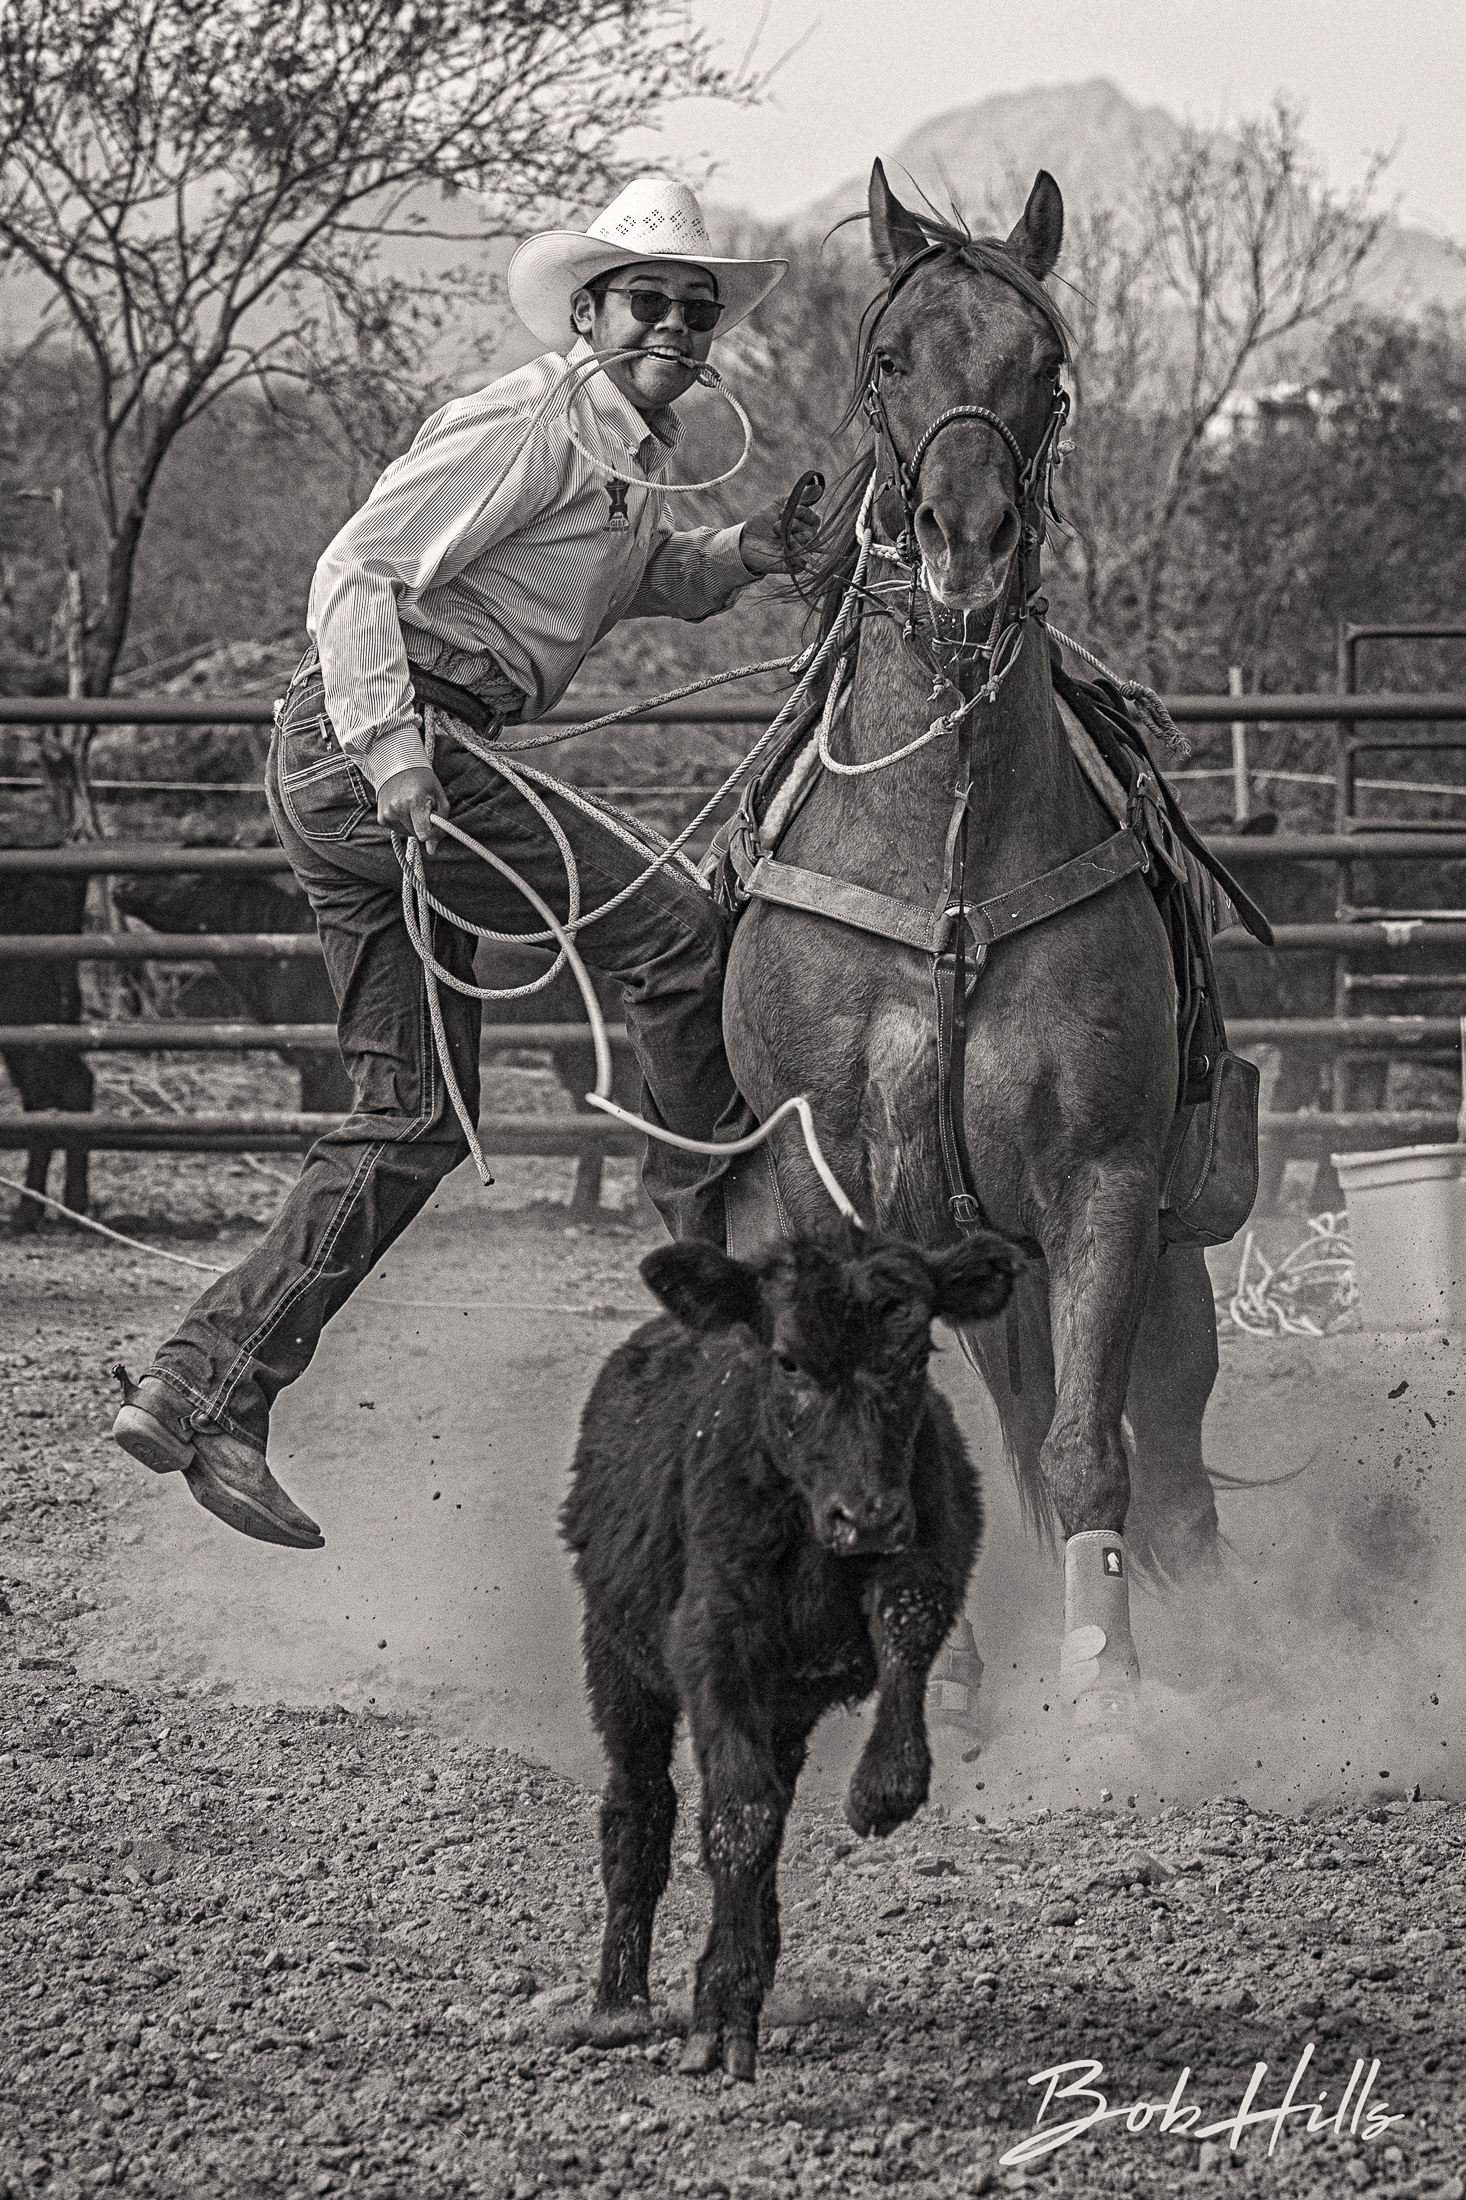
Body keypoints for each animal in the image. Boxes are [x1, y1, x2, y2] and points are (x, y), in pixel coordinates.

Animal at [561, 1226, 1015, 2081]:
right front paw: (720, 2013)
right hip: (615, 1656)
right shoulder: (714, 1638)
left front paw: (882, 1788)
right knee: (640, 1805)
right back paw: (619, 2002)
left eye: (916, 1355)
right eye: (789, 1360)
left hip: (785, 1707)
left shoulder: (924, 1546)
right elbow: (739, 1814)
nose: (865, 1517)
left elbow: (909, 1626)